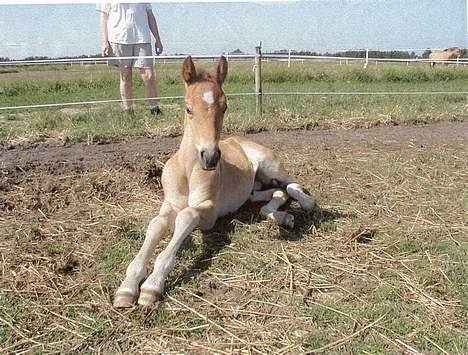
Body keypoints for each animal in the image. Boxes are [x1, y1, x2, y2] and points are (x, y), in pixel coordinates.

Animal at [114, 56, 316, 308]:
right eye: (188, 108)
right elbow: (157, 224)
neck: (187, 172)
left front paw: (152, 285)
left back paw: (306, 204)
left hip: (270, 164)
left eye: (224, 107)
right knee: (274, 194)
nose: (210, 158)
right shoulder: (169, 204)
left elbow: (187, 215)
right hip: (254, 188)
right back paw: (284, 217)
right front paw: (127, 288)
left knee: (291, 184)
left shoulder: (208, 211)